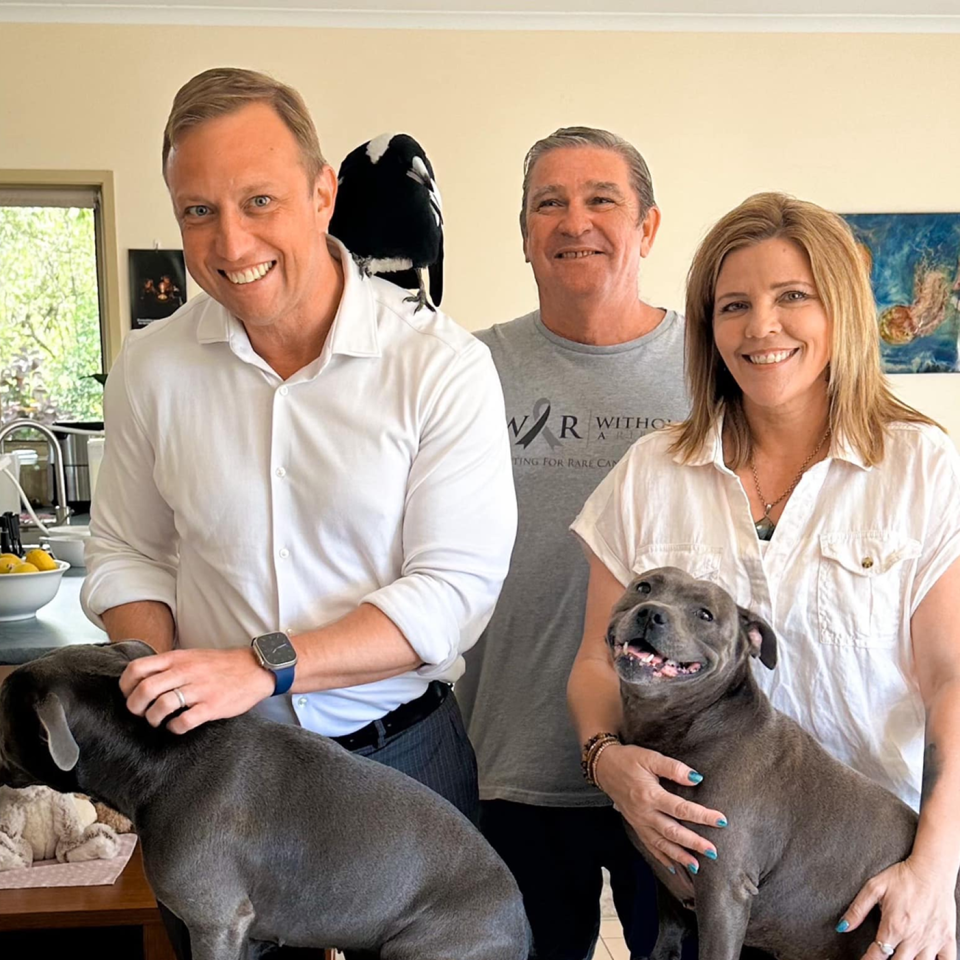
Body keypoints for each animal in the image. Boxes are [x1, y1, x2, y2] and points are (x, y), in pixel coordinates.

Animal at [608, 568, 960, 960]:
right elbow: (666, 937)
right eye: (644, 586)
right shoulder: (668, 877)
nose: (652, 613)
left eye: (705, 614)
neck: (688, 727)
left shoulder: (722, 890)